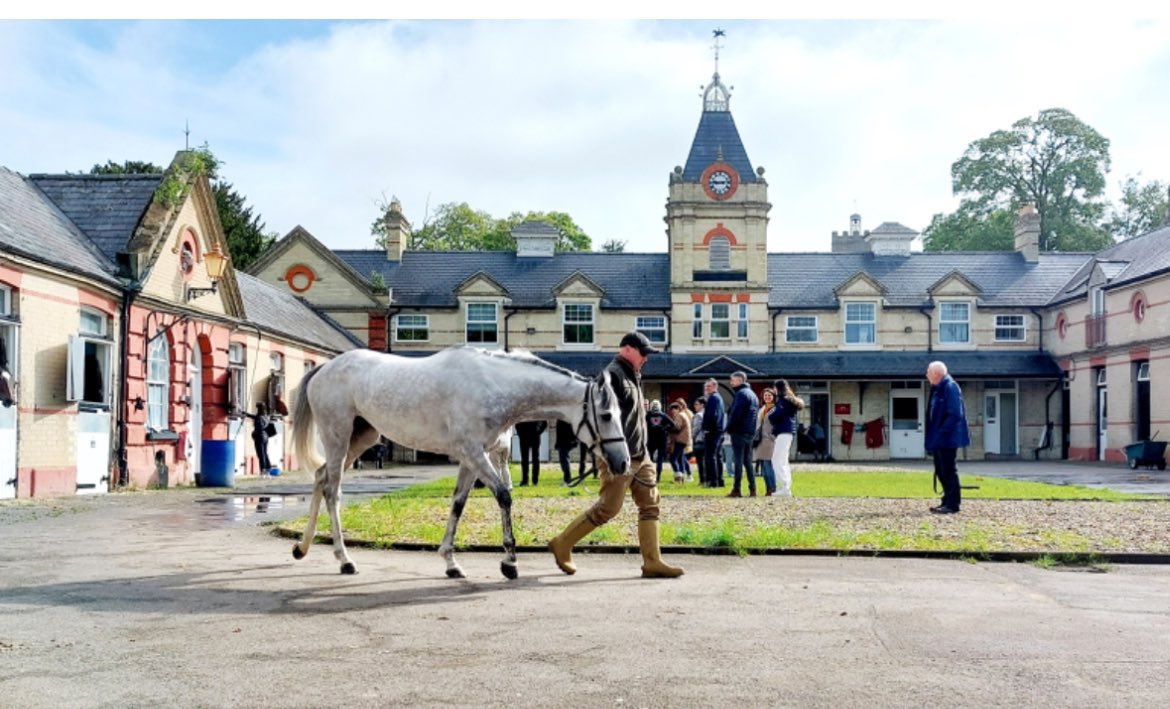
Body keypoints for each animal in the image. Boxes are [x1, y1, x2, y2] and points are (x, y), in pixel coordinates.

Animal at [288, 346, 631, 580]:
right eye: (606, 415)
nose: (623, 462)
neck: (491, 384)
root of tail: (324, 368)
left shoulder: (471, 457)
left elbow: (458, 504)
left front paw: (451, 562)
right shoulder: (473, 453)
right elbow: (503, 496)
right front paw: (510, 563)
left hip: (362, 438)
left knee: (320, 477)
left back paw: (302, 548)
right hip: (338, 436)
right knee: (332, 490)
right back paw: (344, 559)